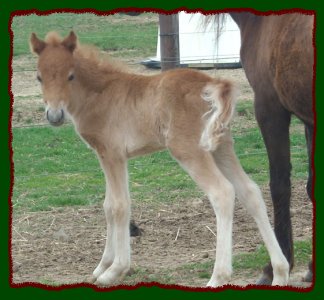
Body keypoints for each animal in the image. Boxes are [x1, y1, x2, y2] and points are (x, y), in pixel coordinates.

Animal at [30, 31, 288, 288]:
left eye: (70, 75)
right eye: (39, 77)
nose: (54, 116)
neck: (101, 94)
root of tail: (213, 84)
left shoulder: (113, 154)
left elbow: (119, 206)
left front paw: (115, 270)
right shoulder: (106, 155)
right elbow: (108, 205)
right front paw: (102, 266)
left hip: (189, 149)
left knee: (222, 192)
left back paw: (218, 277)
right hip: (221, 146)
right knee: (249, 191)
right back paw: (280, 272)